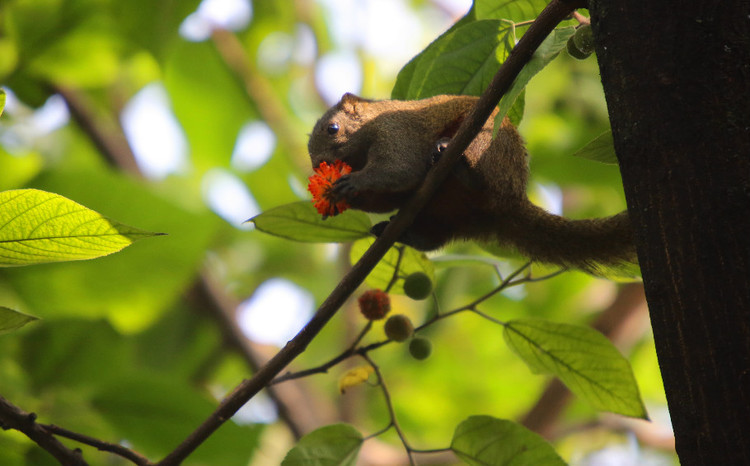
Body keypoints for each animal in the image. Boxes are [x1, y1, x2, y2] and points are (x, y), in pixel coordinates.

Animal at [308, 92, 636, 274]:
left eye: (332, 128)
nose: (317, 166)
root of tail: (512, 199)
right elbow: (391, 195)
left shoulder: (397, 132)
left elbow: (400, 170)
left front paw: (351, 183)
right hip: (445, 216)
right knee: (432, 238)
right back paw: (398, 232)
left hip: (486, 143)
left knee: (476, 174)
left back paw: (454, 161)